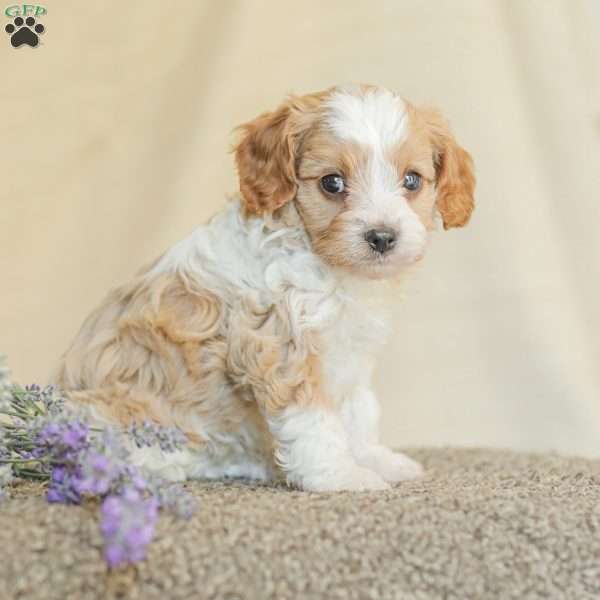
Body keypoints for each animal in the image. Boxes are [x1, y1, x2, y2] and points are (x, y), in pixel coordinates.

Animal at [58, 84, 476, 492]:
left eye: (412, 180)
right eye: (332, 182)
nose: (382, 237)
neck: (330, 269)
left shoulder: (351, 356)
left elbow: (359, 412)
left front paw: (374, 459)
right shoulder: (280, 346)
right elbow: (314, 422)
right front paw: (341, 475)